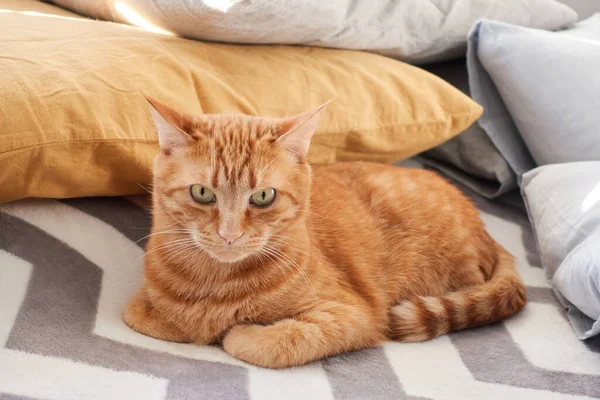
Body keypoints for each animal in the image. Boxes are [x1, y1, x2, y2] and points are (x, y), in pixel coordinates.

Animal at [124, 97, 528, 368]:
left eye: (263, 197)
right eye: (202, 193)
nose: (229, 235)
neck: (214, 284)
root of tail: (484, 226)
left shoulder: (353, 315)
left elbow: (271, 341)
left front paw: (236, 332)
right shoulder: (141, 305)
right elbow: (144, 316)